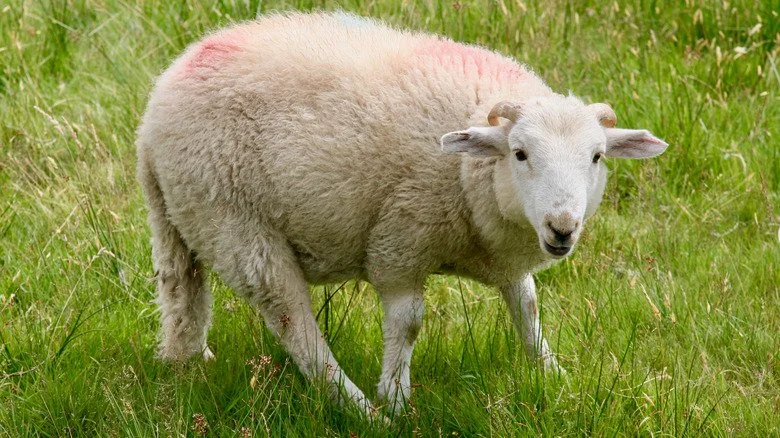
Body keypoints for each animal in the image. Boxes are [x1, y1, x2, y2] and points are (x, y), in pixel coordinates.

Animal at [136, 11, 668, 416]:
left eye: (596, 157)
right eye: (519, 154)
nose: (562, 228)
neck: (467, 174)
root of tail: (157, 103)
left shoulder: (500, 253)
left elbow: (528, 307)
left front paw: (554, 375)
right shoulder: (400, 240)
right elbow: (408, 321)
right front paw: (394, 397)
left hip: (178, 217)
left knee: (182, 292)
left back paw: (187, 362)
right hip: (238, 224)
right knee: (294, 324)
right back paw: (360, 409)